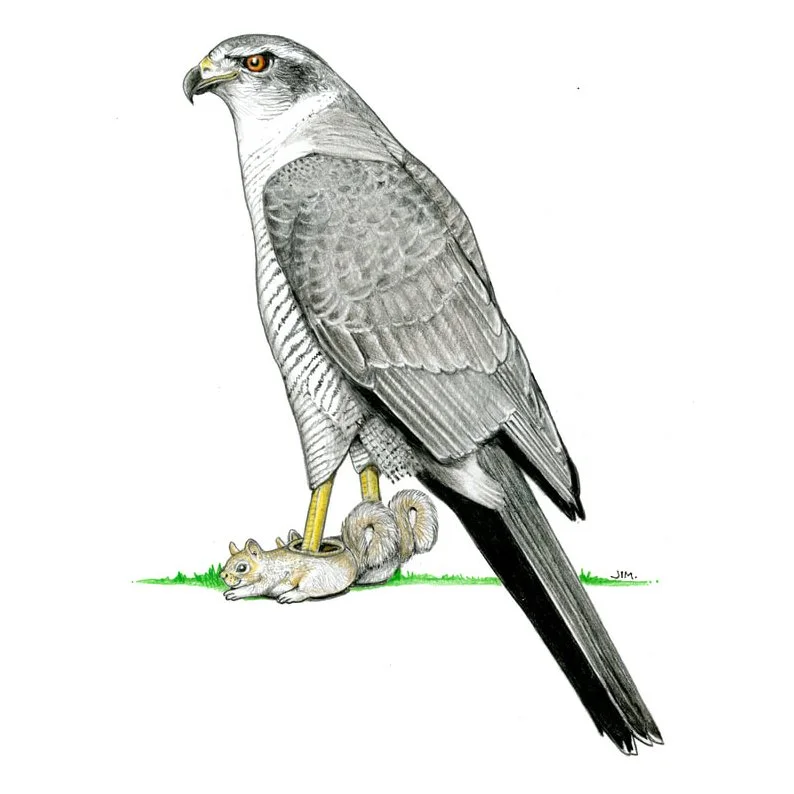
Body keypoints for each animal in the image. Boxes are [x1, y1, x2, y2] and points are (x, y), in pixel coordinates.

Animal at [221, 489, 438, 603]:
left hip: (314, 580)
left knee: (306, 592)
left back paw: (291, 596)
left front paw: (235, 592)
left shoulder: (271, 577)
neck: (267, 563)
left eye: (242, 567)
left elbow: (255, 588)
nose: (223, 575)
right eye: (227, 562)